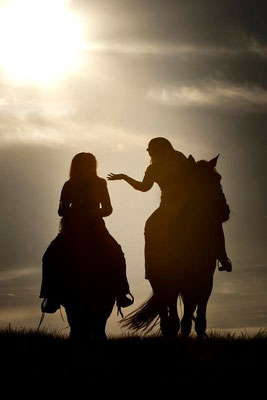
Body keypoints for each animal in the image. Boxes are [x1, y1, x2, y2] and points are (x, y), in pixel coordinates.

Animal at [121, 155, 230, 340]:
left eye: (219, 179)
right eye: (197, 182)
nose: (223, 211)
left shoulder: (204, 280)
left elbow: (197, 318)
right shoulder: (170, 280)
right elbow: (175, 318)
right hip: (160, 282)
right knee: (166, 313)